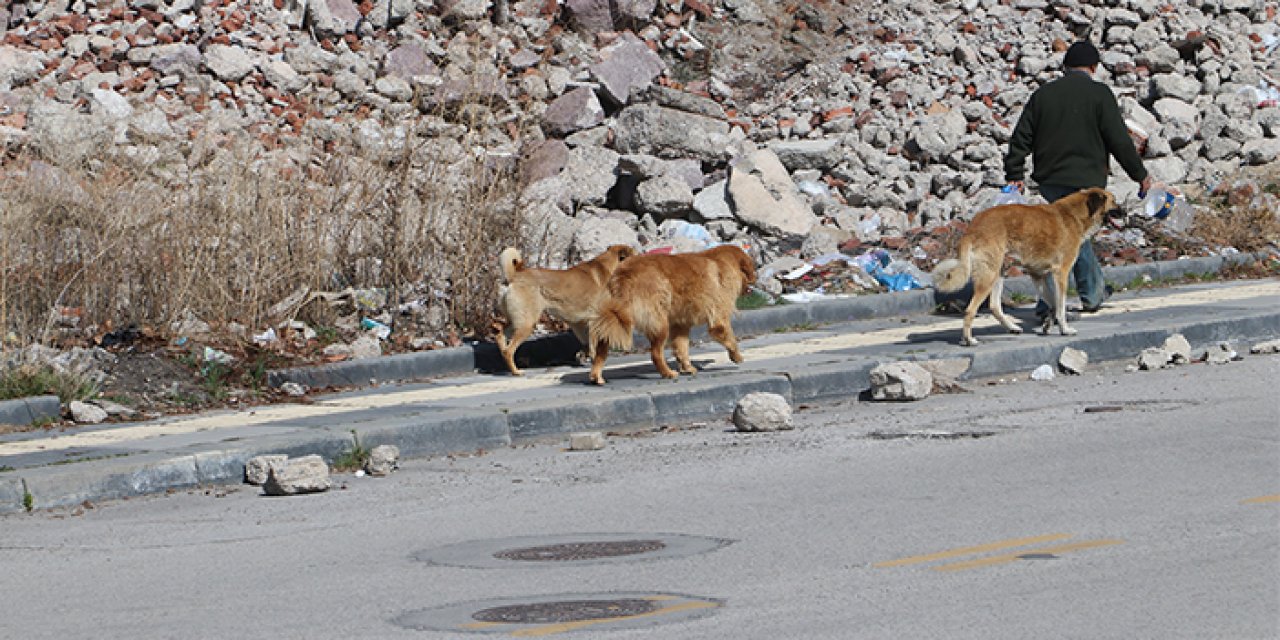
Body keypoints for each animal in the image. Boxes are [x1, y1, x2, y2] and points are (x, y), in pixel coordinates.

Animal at [494, 243, 634, 373]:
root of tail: (514, 277)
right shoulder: (593, 320)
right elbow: (593, 345)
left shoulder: (579, 323)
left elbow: (586, 344)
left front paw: (582, 356)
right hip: (526, 324)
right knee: (509, 351)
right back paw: (516, 372)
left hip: (517, 322)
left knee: (500, 334)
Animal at [591, 244, 757, 384]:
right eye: (753, 268)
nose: (757, 278)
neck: (724, 263)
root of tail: (624, 274)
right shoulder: (719, 318)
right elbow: (731, 339)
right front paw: (737, 357)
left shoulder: (680, 325)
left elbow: (682, 348)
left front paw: (687, 368)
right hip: (659, 323)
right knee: (656, 353)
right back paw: (667, 373)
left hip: (615, 320)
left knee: (601, 349)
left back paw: (596, 376)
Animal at [931, 186, 1121, 345]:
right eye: (1114, 201)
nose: (1125, 212)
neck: (1075, 214)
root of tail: (972, 228)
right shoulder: (1061, 274)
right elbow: (1060, 306)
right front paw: (1064, 329)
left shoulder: (1038, 275)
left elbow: (1053, 304)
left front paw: (1047, 325)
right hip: (989, 276)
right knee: (970, 310)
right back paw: (969, 340)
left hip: (998, 272)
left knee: (994, 305)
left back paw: (1011, 327)